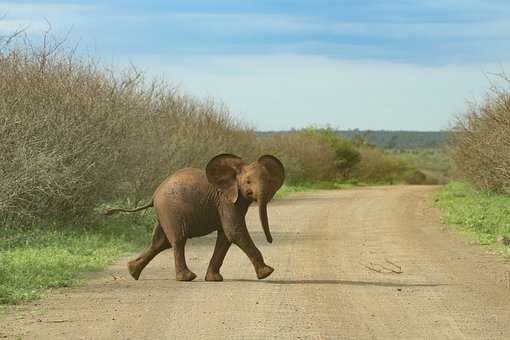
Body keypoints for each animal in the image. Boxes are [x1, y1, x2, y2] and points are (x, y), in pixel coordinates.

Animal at [105, 154, 284, 282]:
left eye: (269, 181)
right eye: (247, 182)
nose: (271, 240)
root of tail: (154, 195)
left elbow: (226, 236)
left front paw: (214, 279)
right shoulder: (226, 201)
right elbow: (234, 231)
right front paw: (267, 273)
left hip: (164, 213)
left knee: (160, 243)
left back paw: (132, 272)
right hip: (170, 211)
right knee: (177, 240)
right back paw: (187, 278)